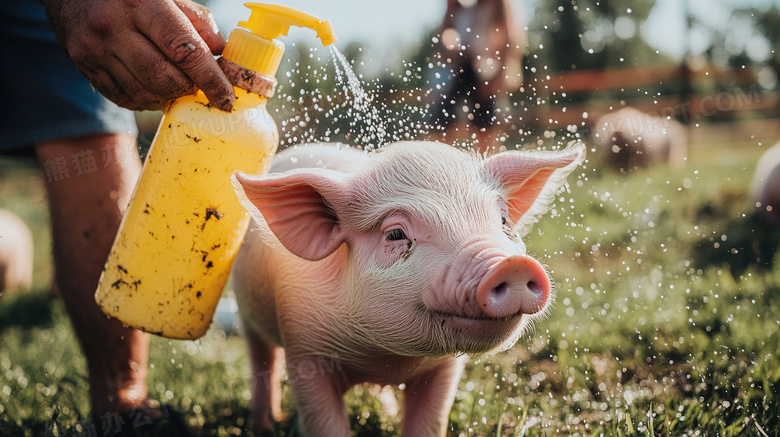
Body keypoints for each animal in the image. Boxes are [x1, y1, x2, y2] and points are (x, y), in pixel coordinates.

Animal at [232, 141, 584, 434]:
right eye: (396, 234)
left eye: (502, 220)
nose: (513, 264)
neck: (384, 359)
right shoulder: (305, 352)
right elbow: (325, 422)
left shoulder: (445, 368)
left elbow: (429, 421)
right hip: (246, 312)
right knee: (263, 362)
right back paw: (263, 426)